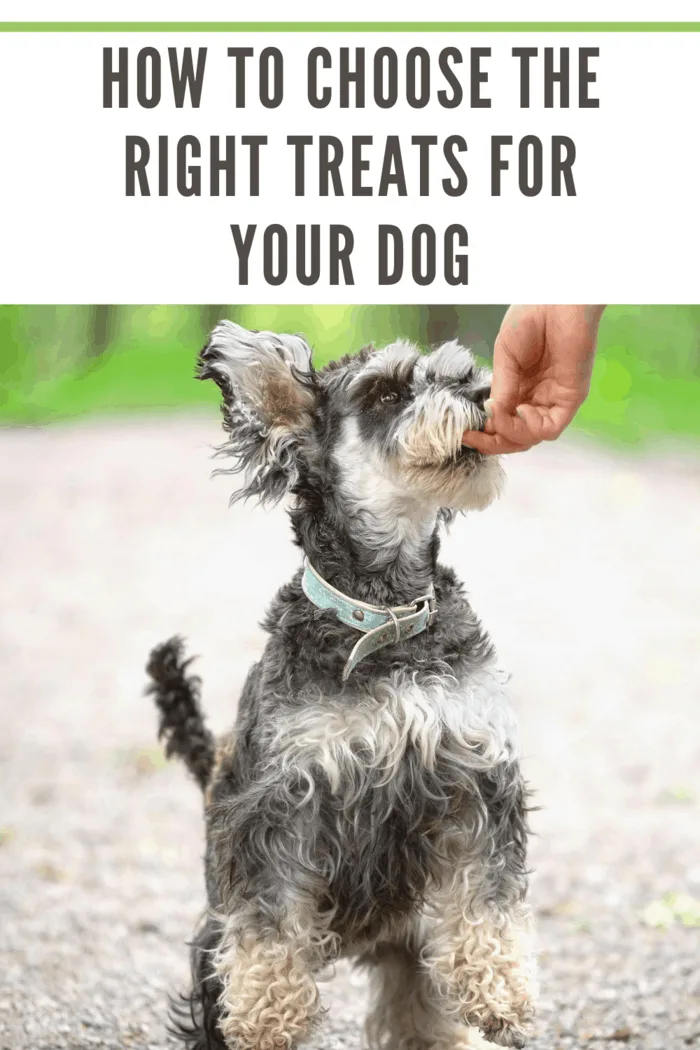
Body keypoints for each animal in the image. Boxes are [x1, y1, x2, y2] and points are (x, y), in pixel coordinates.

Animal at [144, 319, 533, 1050]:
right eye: (386, 392)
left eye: (460, 373)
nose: (485, 394)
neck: (386, 617)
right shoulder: (276, 804)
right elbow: (269, 926)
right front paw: (267, 1015)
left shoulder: (474, 777)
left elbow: (489, 899)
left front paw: (502, 991)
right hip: (210, 950)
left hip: (411, 950)